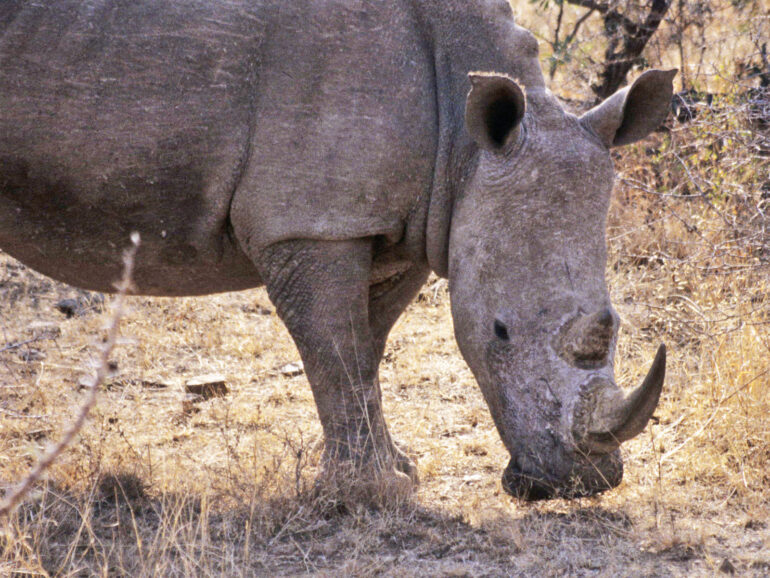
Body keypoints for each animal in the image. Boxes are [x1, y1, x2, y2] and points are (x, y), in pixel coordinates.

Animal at [0, 0, 674, 501]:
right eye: (501, 332)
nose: (583, 485)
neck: (467, 145)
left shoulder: (412, 220)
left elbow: (365, 348)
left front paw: (396, 471)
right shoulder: (313, 223)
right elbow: (337, 350)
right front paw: (372, 494)